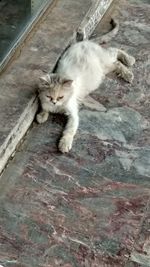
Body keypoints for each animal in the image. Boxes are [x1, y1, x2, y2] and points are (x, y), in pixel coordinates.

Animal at [36, 19, 135, 153]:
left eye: (61, 97)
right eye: (49, 96)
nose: (54, 102)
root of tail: (84, 42)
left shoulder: (73, 114)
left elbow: (69, 131)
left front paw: (64, 144)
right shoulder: (45, 101)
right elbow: (44, 108)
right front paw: (42, 116)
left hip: (105, 62)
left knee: (115, 52)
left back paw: (129, 64)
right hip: (105, 69)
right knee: (116, 62)